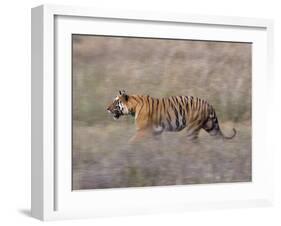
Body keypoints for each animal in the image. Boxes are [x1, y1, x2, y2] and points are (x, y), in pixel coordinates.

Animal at [106, 90, 235, 142]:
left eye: (115, 102)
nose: (107, 108)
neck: (133, 107)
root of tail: (208, 104)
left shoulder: (142, 131)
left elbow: (131, 142)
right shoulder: (156, 132)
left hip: (192, 129)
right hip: (210, 126)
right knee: (219, 139)